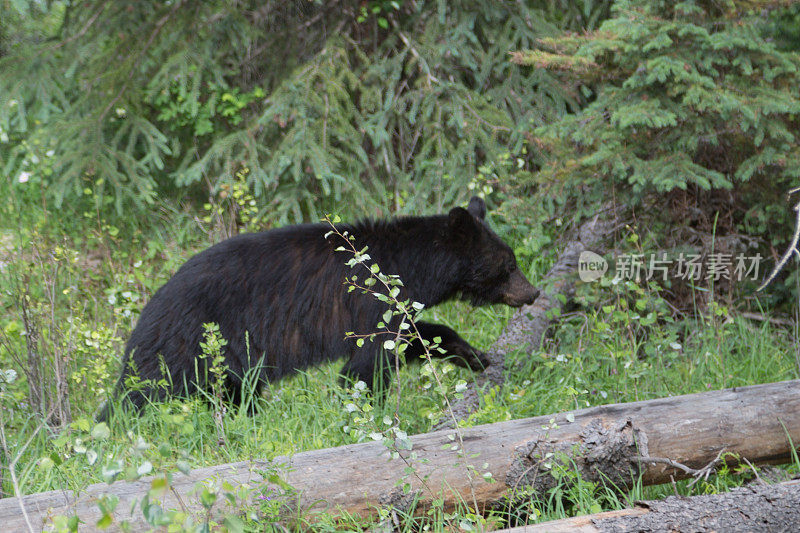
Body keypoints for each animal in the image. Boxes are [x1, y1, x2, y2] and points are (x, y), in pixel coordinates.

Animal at [106, 197, 536, 414]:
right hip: (189, 346)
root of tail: (146, 314)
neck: (411, 264)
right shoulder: (368, 302)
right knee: (138, 395)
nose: (532, 293)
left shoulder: (393, 306)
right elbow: (369, 362)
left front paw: (477, 357)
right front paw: (363, 408)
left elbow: (416, 336)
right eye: (509, 265)